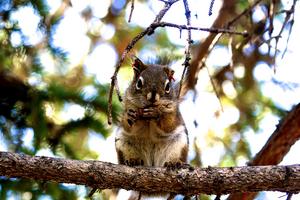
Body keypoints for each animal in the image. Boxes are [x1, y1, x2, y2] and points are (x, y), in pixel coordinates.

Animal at [115, 56, 189, 200]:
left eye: (167, 86)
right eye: (139, 83)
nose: (153, 97)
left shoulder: (173, 113)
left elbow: (168, 124)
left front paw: (157, 113)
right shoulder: (129, 106)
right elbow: (129, 125)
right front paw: (130, 116)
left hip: (178, 143)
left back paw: (173, 163)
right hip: (123, 142)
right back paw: (133, 160)